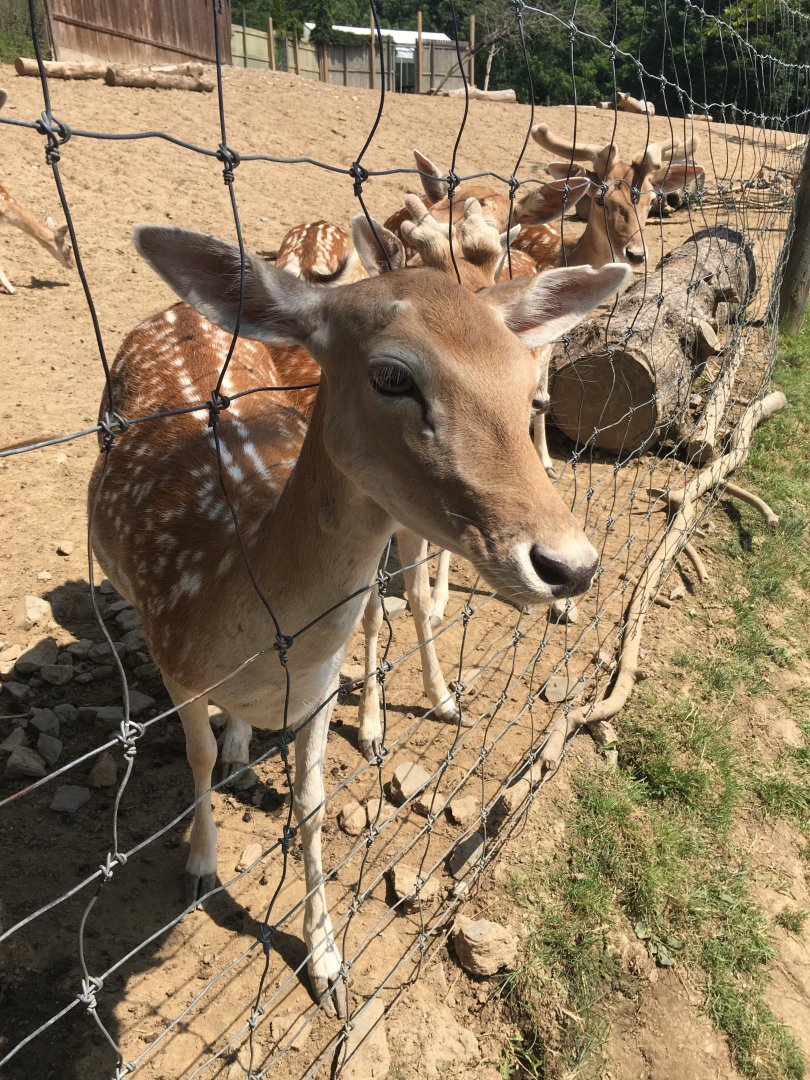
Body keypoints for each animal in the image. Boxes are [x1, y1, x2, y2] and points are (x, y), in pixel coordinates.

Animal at [89, 221, 630, 1018]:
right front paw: (200, 869)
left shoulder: (317, 683)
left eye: (522, 381)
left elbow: (312, 806)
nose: (571, 565)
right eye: (393, 377)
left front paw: (329, 967)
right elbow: (195, 758)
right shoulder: (175, 658)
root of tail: (178, 309)